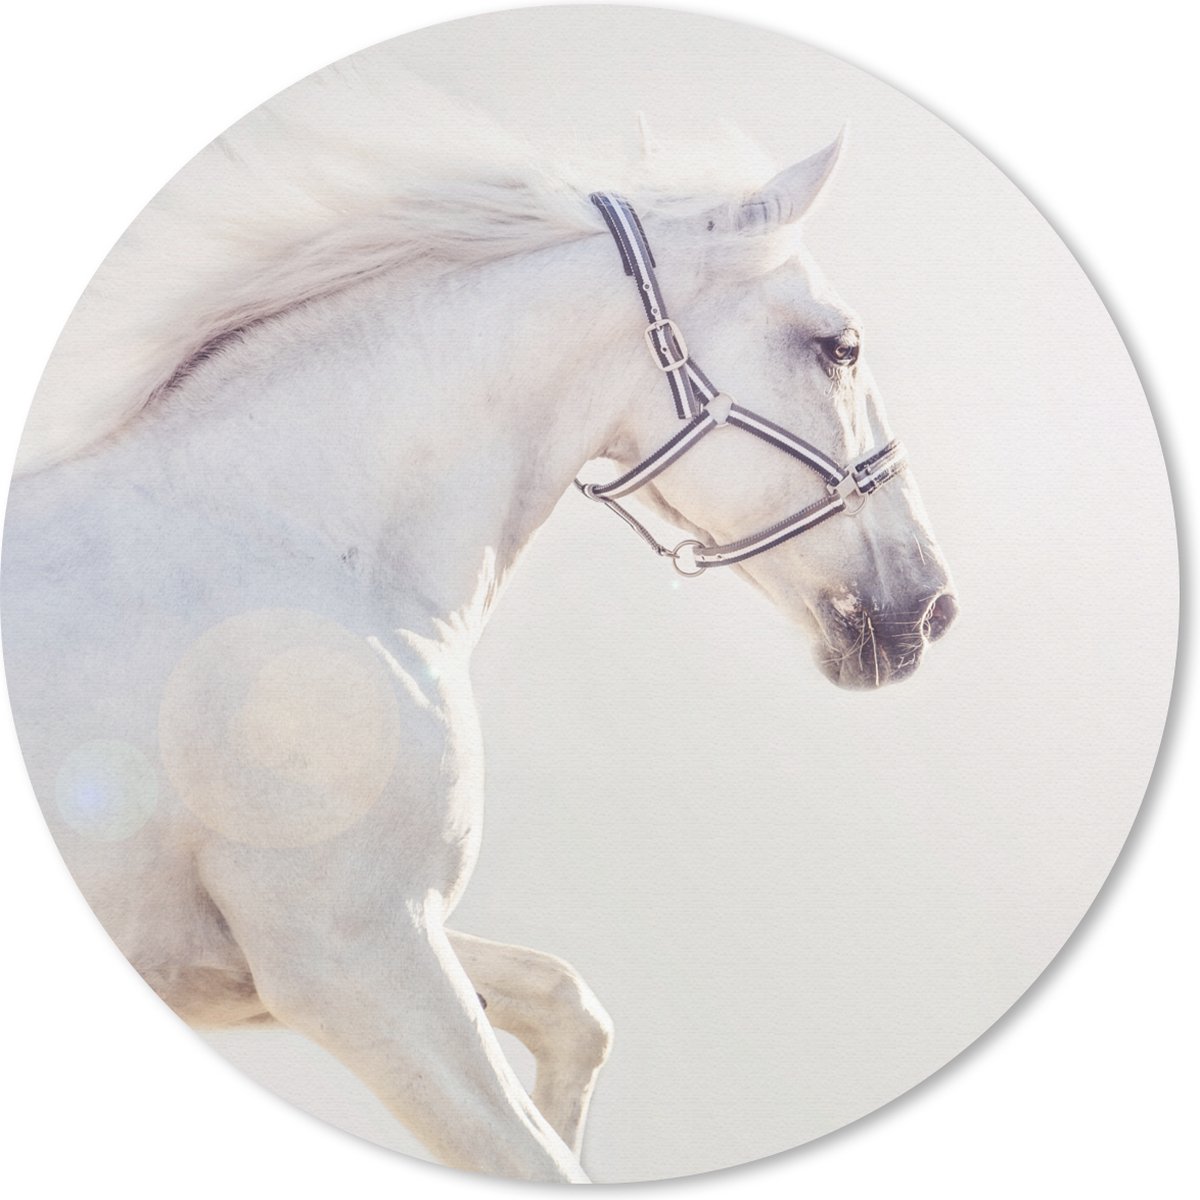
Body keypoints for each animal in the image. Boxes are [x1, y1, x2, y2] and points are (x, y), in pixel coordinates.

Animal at [1, 86, 955, 1180]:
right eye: (840, 346)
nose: (932, 605)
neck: (290, 550)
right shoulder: (353, 963)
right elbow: (532, 1149)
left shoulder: (296, 958)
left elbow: (570, 1007)